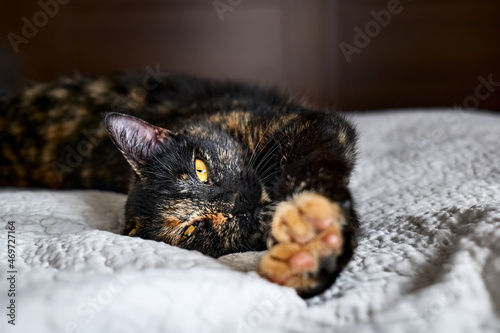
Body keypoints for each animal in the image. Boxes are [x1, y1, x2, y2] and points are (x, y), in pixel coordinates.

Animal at [0, 71, 360, 296]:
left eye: (200, 169)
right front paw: (307, 258)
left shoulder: (307, 125)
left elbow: (315, 166)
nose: (237, 202)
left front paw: (314, 239)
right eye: (192, 230)